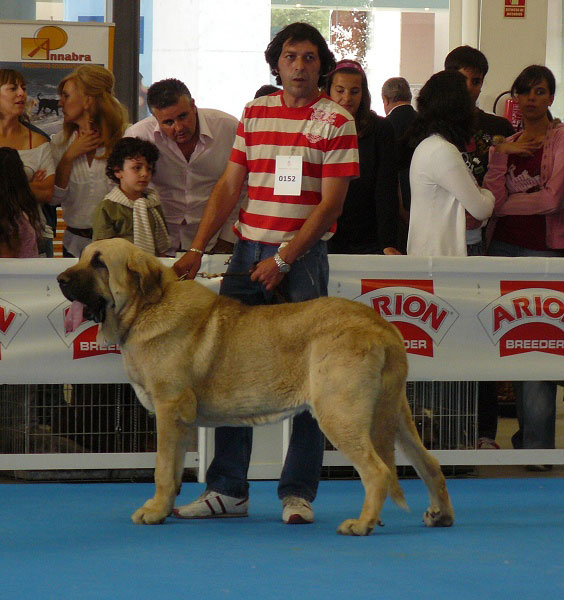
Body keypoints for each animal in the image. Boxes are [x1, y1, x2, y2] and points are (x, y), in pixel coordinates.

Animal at [57, 239, 454, 536]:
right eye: (82, 256)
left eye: (100, 263)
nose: (60, 278)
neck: (145, 308)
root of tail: (381, 326)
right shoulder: (180, 421)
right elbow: (173, 470)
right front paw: (165, 508)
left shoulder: (170, 411)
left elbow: (162, 470)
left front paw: (153, 512)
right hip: (394, 415)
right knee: (430, 463)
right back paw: (440, 515)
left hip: (340, 413)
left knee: (377, 471)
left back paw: (362, 523)